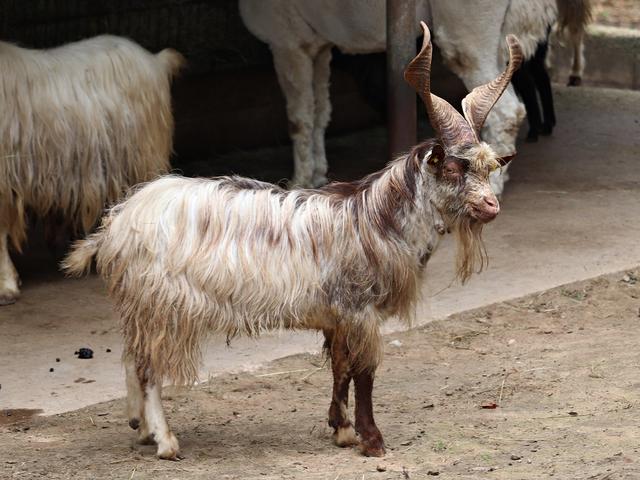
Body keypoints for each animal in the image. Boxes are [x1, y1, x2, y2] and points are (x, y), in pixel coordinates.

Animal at [63, 24, 523, 460]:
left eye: (487, 167)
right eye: (453, 168)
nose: (491, 206)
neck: (375, 219)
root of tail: (118, 221)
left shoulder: (338, 316)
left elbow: (340, 368)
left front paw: (341, 430)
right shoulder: (360, 310)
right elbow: (365, 373)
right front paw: (372, 440)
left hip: (140, 304)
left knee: (132, 359)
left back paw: (140, 428)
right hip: (160, 304)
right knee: (148, 369)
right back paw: (165, 441)